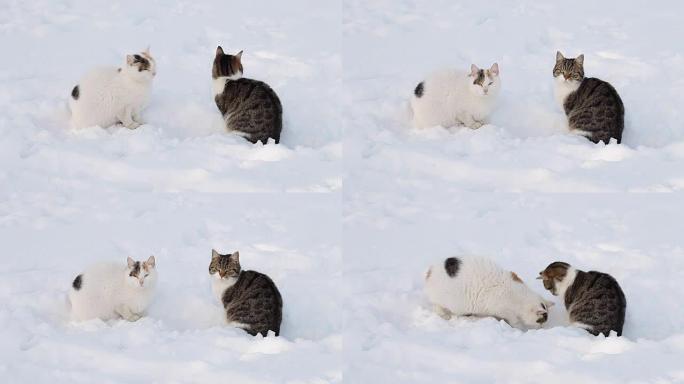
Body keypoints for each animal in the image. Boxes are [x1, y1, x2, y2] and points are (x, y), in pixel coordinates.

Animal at [424, 255, 552, 330]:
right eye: (541, 320)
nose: (543, 326)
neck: (520, 298)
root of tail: (430, 271)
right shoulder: (505, 311)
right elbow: (514, 321)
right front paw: (519, 328)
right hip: (445, 303)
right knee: (439, 309)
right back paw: (446, 316)